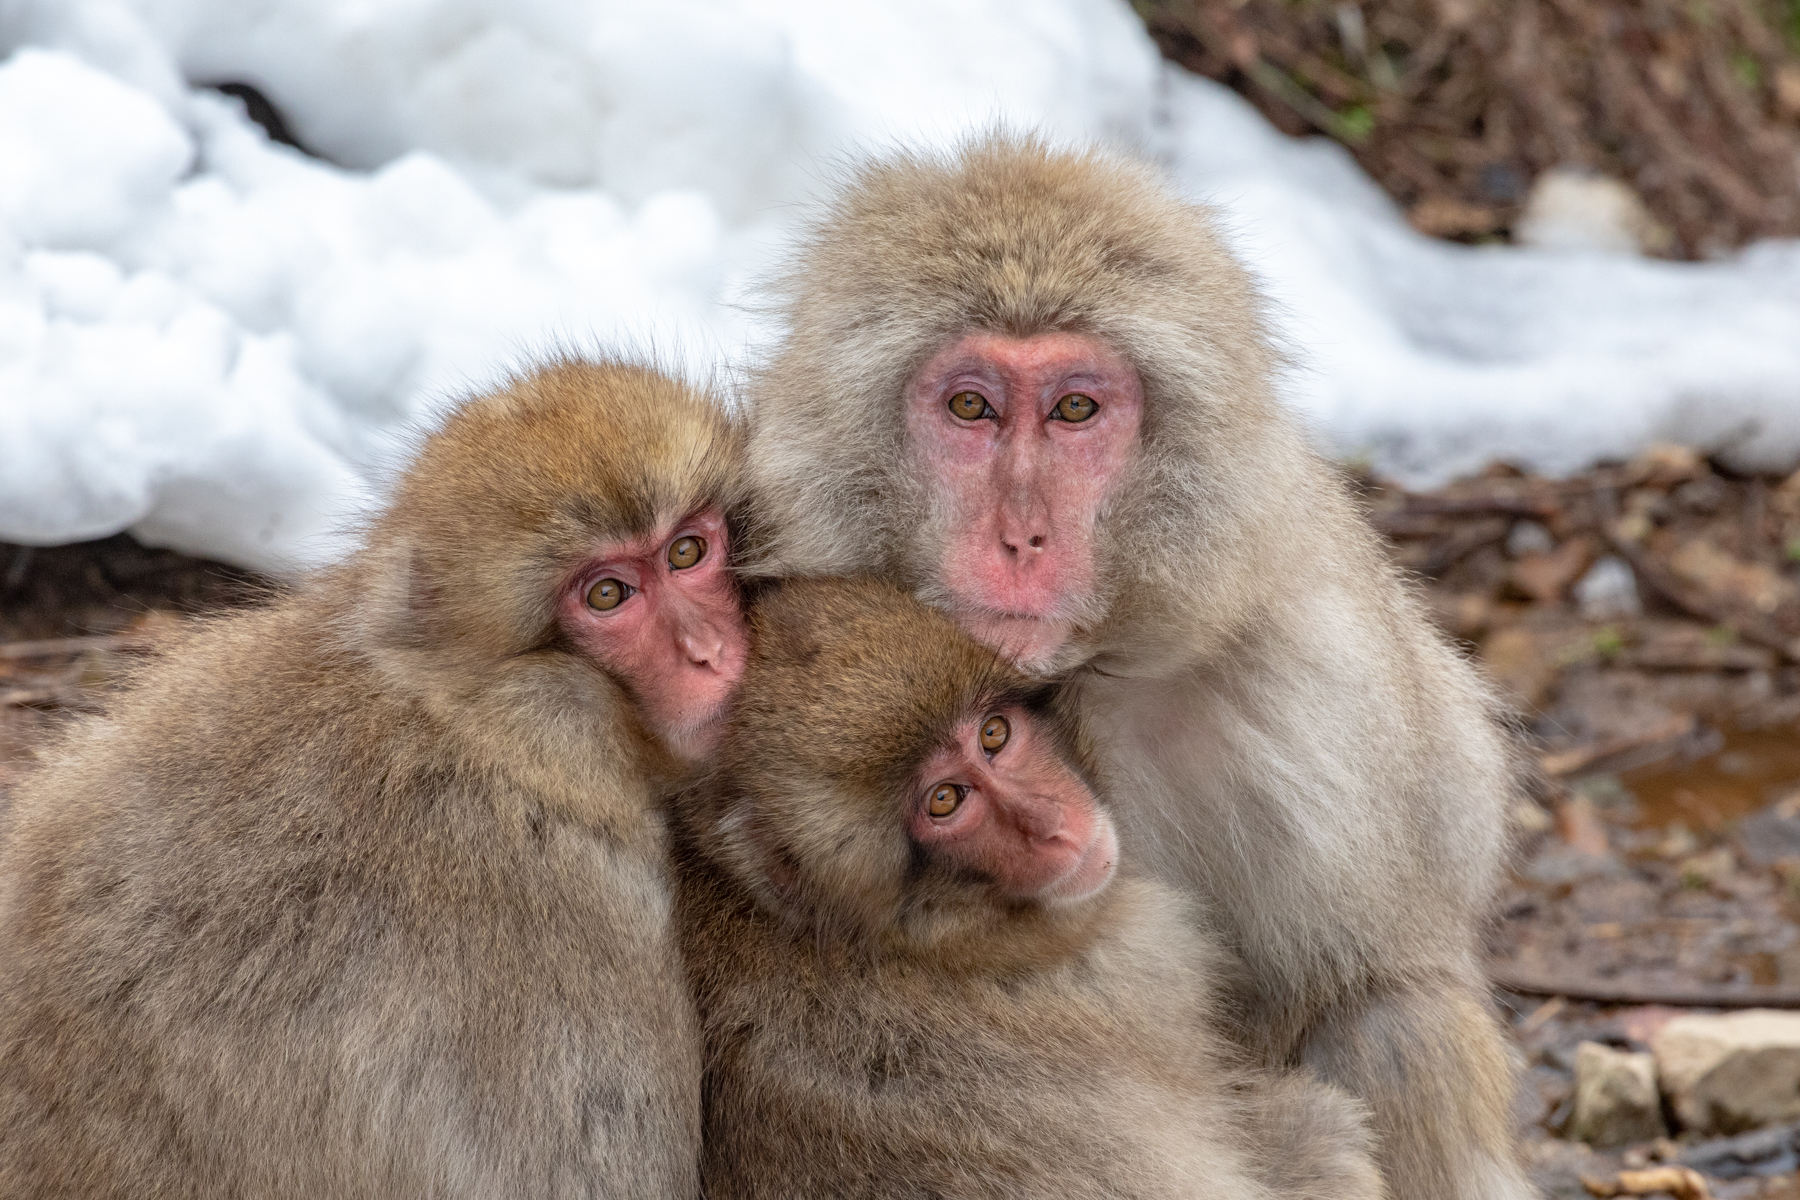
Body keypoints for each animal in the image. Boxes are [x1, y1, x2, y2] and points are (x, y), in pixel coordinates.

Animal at [745, 141, 1533, 1200]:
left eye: (1075, 410)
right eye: (970, 407)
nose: (1021, 537)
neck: (1067, 676)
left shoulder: (1316, 698)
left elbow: (1372, 987)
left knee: (1396, 1030)